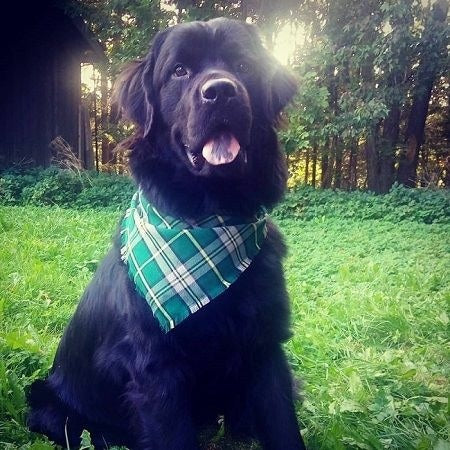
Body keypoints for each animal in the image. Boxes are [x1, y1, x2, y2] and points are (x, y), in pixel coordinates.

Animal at [27, 18, 306, 450]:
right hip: (53, 408)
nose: (220, 91)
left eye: (244, 66)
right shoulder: (157, 368)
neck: (209, 218)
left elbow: (284, 427)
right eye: (179, 71)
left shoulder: (266, 348)